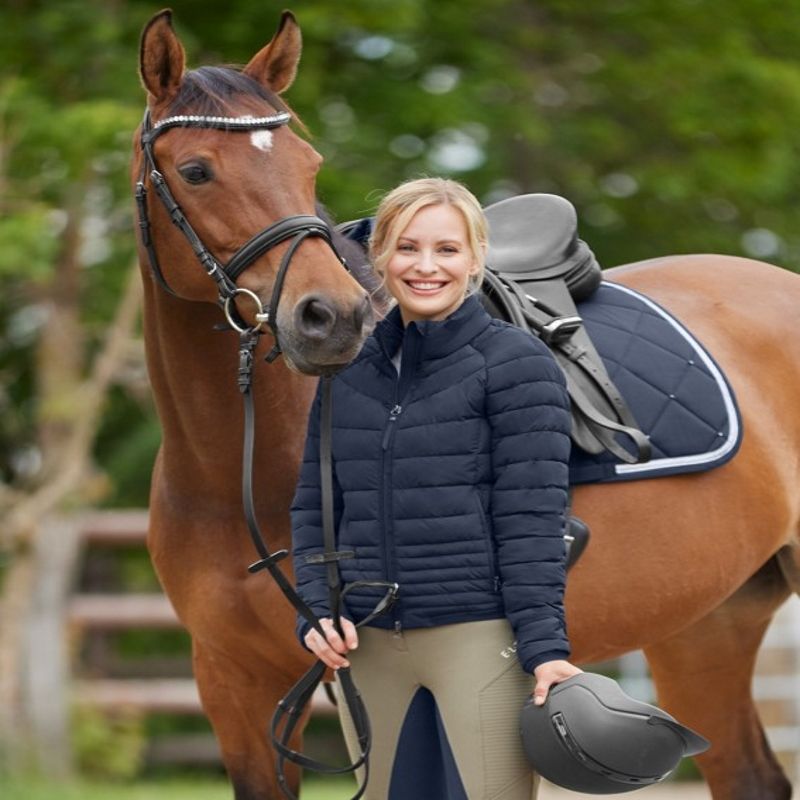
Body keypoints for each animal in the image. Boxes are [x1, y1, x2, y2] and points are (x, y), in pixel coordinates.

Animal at [133, 7, 800, 800]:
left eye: (309, 165)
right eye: (196, 170)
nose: (331, 317)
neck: (236, 467)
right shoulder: (234, 686)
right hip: (704, 625)